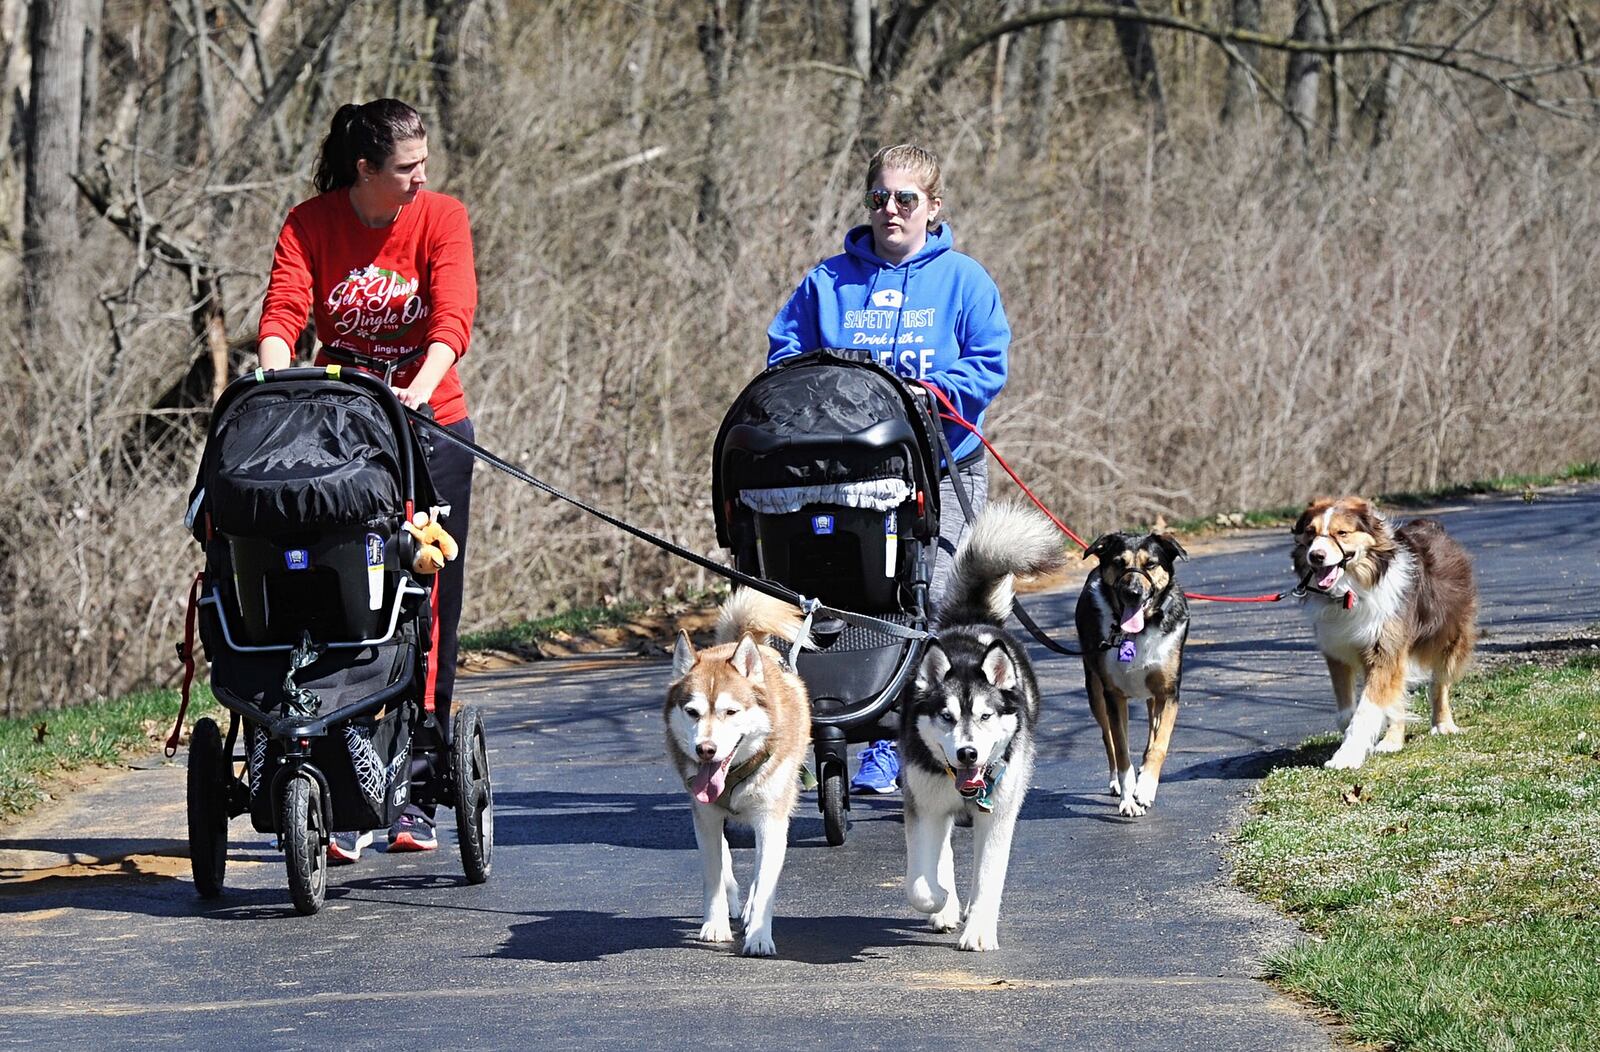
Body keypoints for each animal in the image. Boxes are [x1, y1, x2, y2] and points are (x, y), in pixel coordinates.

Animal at [1075, 527, 1190, 815]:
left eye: (1151, 564)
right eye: (1119, 563)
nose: (1133, 592)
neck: (1141, 630)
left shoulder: (1169, 693)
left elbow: (1159, 745)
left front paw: (1146, 787)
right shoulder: (1113, 696)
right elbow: (1121, 750)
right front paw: (1129, 800)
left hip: (1152, 697)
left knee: (1151, 733)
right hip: (1095, 693)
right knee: (1108, 739)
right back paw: (1117, 783)